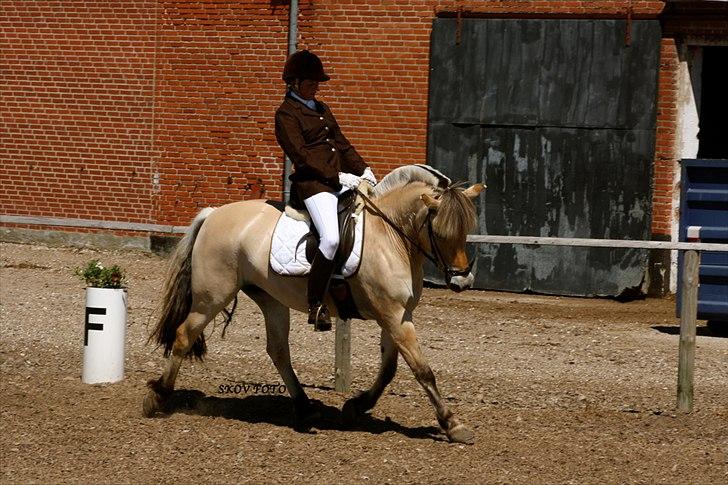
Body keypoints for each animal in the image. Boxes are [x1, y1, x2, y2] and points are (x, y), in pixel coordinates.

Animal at [142, 165, 484, 442]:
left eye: (466, 230)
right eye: (440, 232)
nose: (462, 281)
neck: (390, 237)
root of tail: (213, 213)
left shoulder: (398, 315)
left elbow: (389, 370)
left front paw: (356, 406)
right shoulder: (392, 315)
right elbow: (423, 370)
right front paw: (452, 424)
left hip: (270, 299)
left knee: (278, 350)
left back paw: (305, 408)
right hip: (211, 296)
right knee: (184, 336)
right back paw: (157, 398)